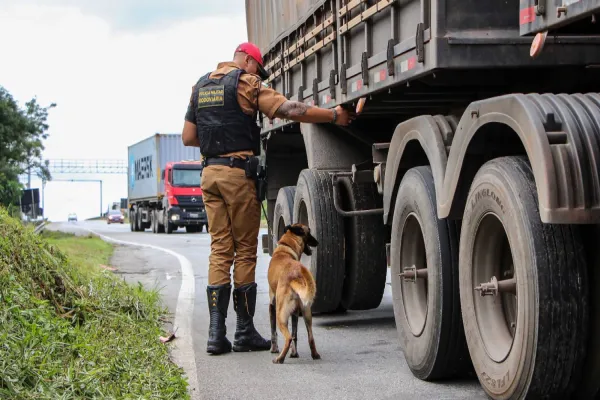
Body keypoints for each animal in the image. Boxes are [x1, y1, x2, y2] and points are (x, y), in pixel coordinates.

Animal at [267, 223, 320, 364]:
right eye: (309, 232)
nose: (317, 242)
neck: (286, 247)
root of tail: (295, 273)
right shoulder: (296, 312)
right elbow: (295, 333)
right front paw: (294, 353)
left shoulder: (272, 306)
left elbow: (273, 331)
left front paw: (274, 349)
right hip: (307, 313)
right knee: (309, 337)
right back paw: (314, 355)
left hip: (280, 315)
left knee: (288, 338)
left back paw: (279, 358)